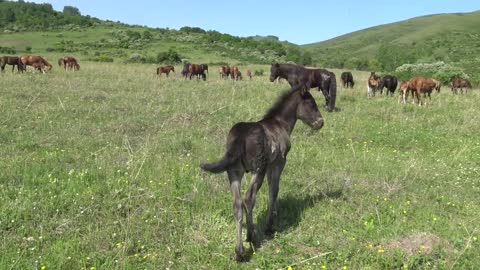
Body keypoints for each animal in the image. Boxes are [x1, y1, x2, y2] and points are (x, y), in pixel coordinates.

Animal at [199, 87, 322, 260]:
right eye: (311, 104)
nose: (320, 123)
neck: (280, 123)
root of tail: (240, 137)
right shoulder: (278, 162)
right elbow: (274, 190)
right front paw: (270, 225)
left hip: (234, 171)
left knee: (237, 203)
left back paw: (239, 251)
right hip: (259, 169)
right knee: (249, 198)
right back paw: (251, 237)